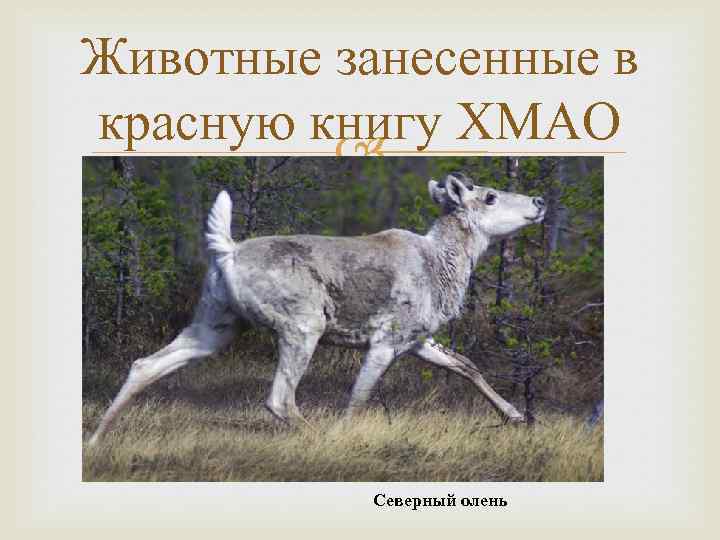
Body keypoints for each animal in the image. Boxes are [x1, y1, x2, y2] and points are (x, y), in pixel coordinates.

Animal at [88, 173, 545, 445]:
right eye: (489, 196)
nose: (539, 201)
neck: (446, 266)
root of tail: (227, 254)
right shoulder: (386, 341)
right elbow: (359, 396)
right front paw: (342, 435)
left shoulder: (418, 340)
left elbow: (468, 366)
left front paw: (516, 415)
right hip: (303, 326)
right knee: (279, 398)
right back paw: (318, 436)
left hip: (216, 324)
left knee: (145, 364)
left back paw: (95, 440)